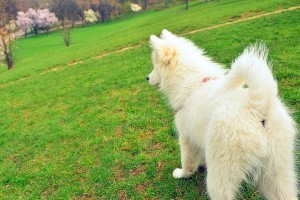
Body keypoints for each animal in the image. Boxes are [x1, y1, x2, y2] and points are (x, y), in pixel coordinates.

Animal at [146, 30, 298, 200]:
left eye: (155, 66)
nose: (147, 78)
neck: (191, 83)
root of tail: (256, 107)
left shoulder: (186, 138)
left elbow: (187, 161)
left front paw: (182, 174)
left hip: (221, 172)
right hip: (277, 171)